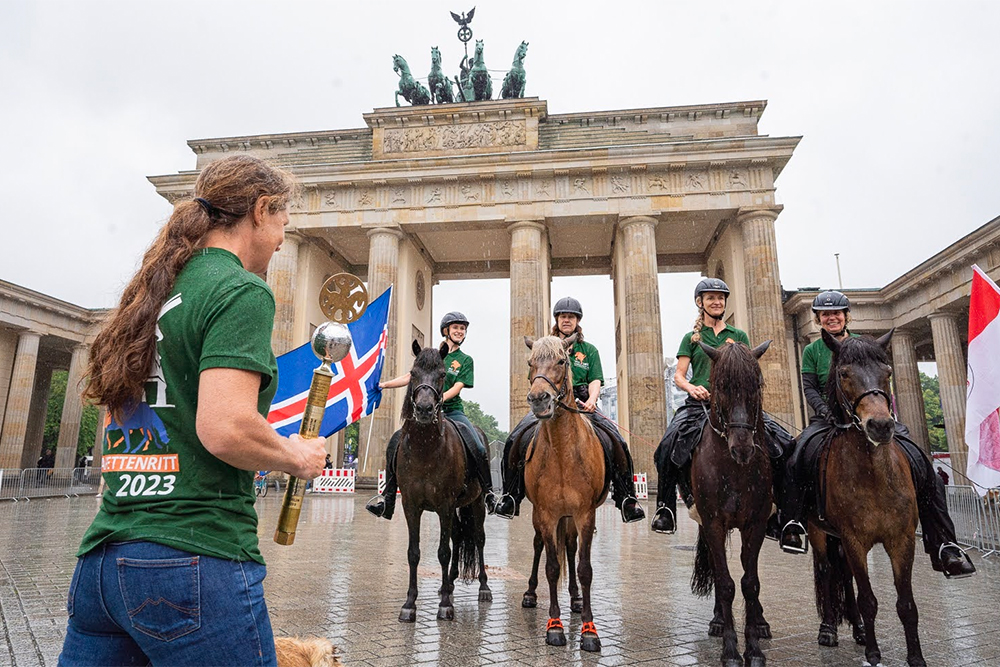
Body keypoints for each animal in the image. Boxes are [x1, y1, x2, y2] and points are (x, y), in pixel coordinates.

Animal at [392, 342, 490, 624]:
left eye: (443, 374)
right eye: (413, 373)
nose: (424, 409)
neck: (425, 449)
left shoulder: (444, 505)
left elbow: (443, 552)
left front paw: (445, 605)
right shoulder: (411, 505)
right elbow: (414, 553)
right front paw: (410, 604)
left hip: (477, 503)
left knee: (478, 538)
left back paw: (483, 587)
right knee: (457, 535)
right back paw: (450, 583)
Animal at [520, 334, 604, 652]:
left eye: (561, 361)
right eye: (530, 362)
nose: (538, 399)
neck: (562, 454)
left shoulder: (585, 514)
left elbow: (584, 568)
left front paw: (589, 630)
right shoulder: (546, 514)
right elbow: (552, 566)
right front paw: (554, 626)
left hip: (570, 518)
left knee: (569, 546)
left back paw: (577, 599)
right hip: (541, 515)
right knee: (539, 546)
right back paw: (531, 593)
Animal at [692, 340, 776, 667]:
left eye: (757, 384)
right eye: (721, 386)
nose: (742, 447)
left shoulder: (756, 523)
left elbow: (751, 583)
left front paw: (753, 649)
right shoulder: (713, 522)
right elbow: (726, 583)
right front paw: (730, 650)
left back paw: (761, 623)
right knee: (719, 571)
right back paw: (717, 621)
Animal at [808, 330, 924, 667]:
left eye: (888, 372)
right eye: (844, 374)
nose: (881, 425)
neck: (873, 476)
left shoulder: (902, 538)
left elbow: (906, 603)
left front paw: (916, 657)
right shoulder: (853, 538)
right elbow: (868, 598)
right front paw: (873, 653)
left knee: (844, 575)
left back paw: (858, 630)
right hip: (820, 531)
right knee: (827, 571)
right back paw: (829, 629)